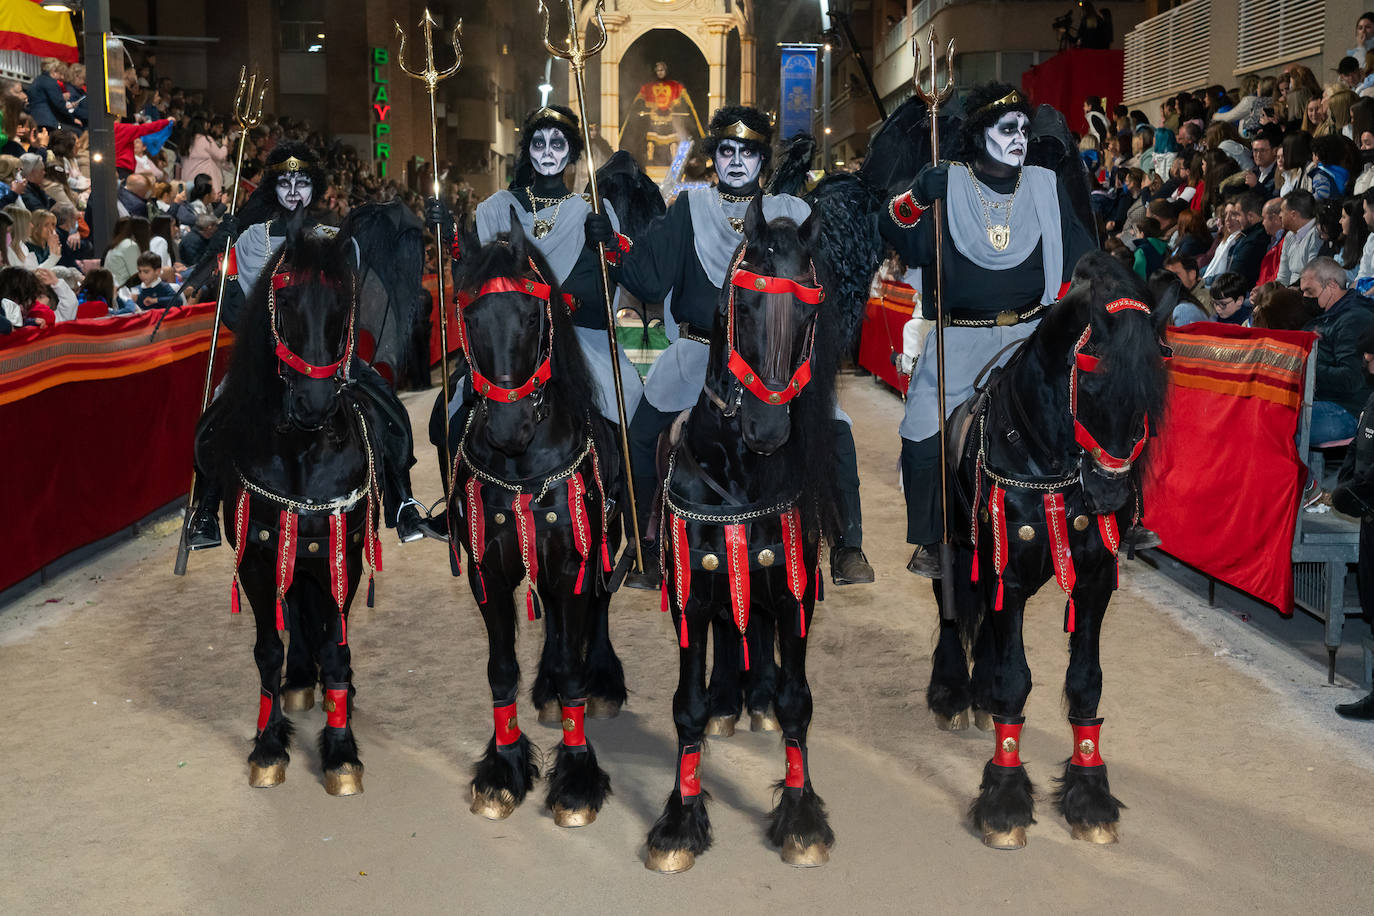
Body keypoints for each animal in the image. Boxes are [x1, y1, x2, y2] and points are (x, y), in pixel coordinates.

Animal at [196, 223, 379, 796]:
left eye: (343, 304)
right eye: (288, 300)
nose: (315, 404)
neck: (301, 451)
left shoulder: (343, 555)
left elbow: (337, 647)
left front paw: (341, 754)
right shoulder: (259, 560)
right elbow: (267, 650)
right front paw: (270, 745)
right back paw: (298, 682)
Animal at [447, 212, 626, 823]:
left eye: (530, 315)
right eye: (470, 317)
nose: (508, 427)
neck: (523, 468)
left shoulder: (574, 560)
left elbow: (573, 661)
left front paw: (575, 778)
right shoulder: (488, 570)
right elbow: (501, 668)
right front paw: (502, 769)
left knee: (595, 613)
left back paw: (601, 681)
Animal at [640, 195, 857, 873]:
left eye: (811, 309)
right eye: (745, 300)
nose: (768, 428)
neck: (738, 472)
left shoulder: (791, 591)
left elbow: (796, 701)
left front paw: (801, 817)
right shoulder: (690, 597)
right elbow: (685, 707)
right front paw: (679, 823)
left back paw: (750, 696)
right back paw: (727, 702)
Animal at [923, 252, 1170, 851]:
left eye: (1152, 391)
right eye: (1094, 378)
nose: (1111, 493)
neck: (1046, 457)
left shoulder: (1094, 579)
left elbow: (1085, 682)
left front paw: (1090, 796)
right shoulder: (1006, 572)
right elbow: (1017, 680)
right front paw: (1005, 800)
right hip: (954, 547)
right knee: (950, 608)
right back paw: (952, 692)